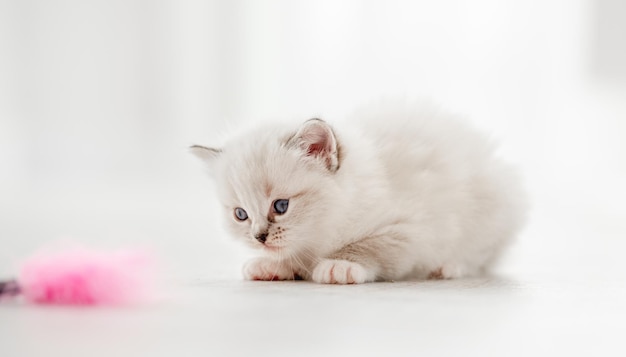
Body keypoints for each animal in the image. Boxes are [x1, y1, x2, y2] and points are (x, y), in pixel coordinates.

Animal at [191, 100, 528, 284]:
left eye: (281, 206)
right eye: (240, 214)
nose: (259, 237)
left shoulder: (412, 231)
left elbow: (370, 246)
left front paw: (339, 264)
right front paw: (272, 265)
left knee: (479, 256)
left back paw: (448, 267)